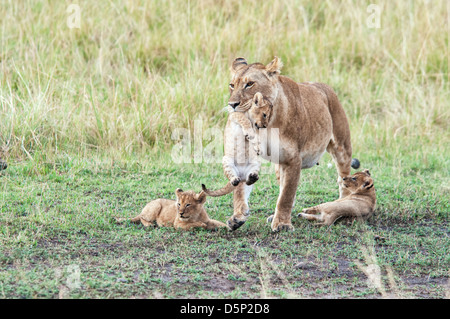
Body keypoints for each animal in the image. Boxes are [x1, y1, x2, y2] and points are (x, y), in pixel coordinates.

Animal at [227, 57, 360, 232]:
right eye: (232, 85)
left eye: (249, 84)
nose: (232, 104)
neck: (265, 126)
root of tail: (324, 86)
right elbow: (241, 190)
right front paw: (238, 217)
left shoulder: (293, 159)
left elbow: (286, 195)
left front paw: (282, 224)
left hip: (341, 147)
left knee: (343, 179)